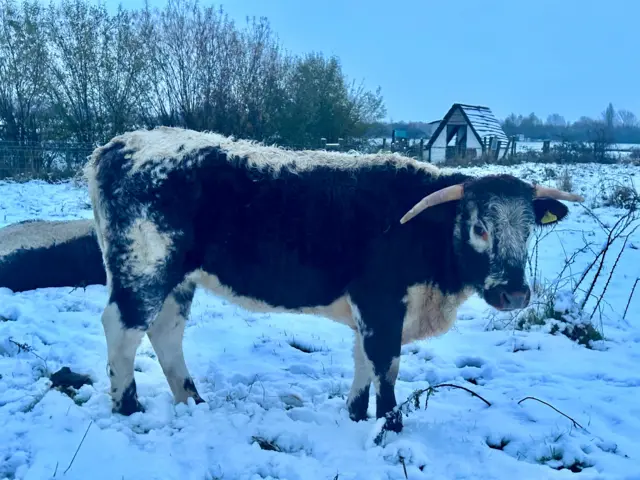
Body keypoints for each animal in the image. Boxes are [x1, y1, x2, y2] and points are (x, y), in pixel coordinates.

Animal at [86, 125, 584, 440]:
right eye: (479, 227)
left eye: (529, 229)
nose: (514, 292)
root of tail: (119, 144)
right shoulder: (381, 303)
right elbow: (386, 365)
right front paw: (390, 426)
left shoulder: (370, 310)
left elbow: (363, 360)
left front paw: (356, 415)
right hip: (144, 268)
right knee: (122, 329)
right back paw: (128, 406)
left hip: (177, 278)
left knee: (166, 332)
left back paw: (193, 401)